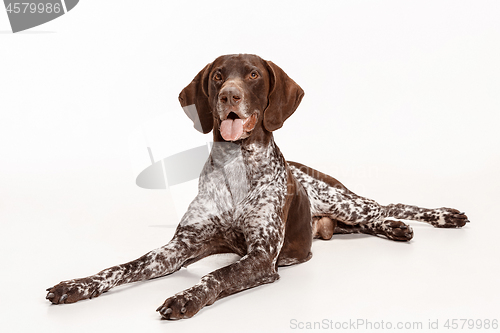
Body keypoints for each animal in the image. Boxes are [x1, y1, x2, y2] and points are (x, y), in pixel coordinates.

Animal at [45, 54, 466, 320]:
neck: (236, 166)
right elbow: (122, 267)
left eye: (252, 76)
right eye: (217, 75)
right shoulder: (177, 248)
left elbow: (216, 275)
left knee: (384, 204)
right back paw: (397, 229)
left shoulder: (262, 257)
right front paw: (77, 285)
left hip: (343, 201)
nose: (228, 95)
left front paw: (185, 297)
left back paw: (437, 216)